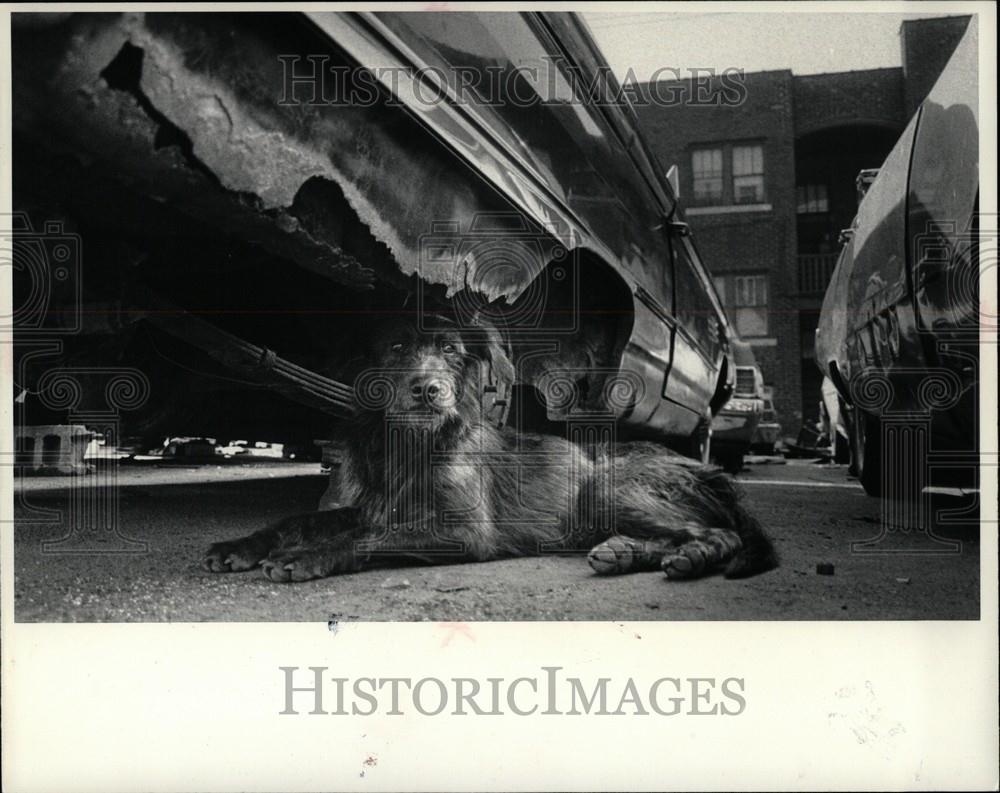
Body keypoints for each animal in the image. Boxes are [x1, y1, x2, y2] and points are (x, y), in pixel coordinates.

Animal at [203, 314, 776, 580]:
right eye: (396, 346)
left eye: (452, 350)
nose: (428, 390)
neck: (412, 444)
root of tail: (703, 468)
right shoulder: (369, 504)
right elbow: (299, 519)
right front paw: (242, 545)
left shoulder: (464, 533)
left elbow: (371, 536)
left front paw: (307, 557)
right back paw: (624, 552)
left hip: (607, 489)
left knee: (718, 532)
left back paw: (692, 554)